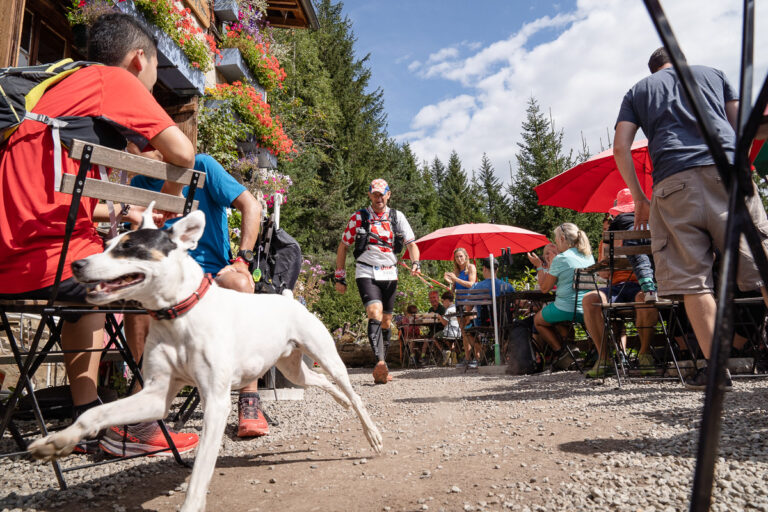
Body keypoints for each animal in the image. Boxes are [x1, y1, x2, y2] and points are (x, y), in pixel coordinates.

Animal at [28, 205, 383, 512]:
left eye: (129, 247)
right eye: (107, 244)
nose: (77, 265)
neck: (179, 317)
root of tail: (286, 297)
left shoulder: (215, 401)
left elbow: (200, 472)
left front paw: (191, 504)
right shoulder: (155, 396)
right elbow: (97, 413)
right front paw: (57, 441)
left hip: (327, 357)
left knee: (353, 394)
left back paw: (372, 434)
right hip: (292, 368)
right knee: (321, 382)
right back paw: (340, 401)